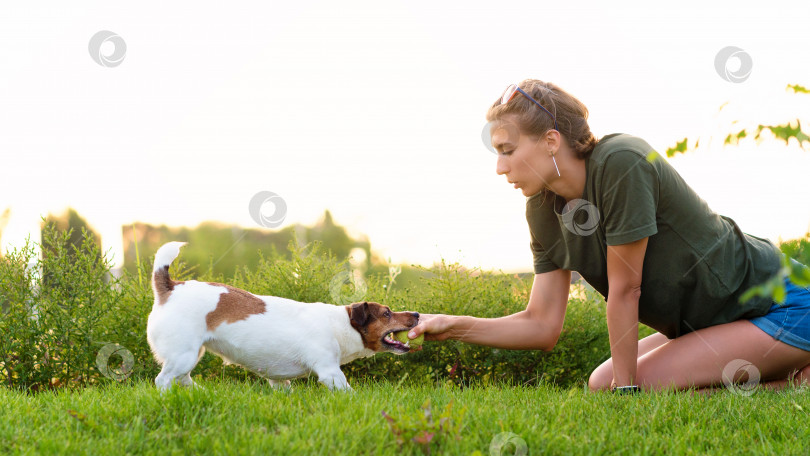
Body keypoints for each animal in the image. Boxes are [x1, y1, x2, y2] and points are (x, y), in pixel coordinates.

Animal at [146, 242, 420, 392]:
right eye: (386, 313)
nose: (417, 314)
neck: (340, 325)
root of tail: (170, 287)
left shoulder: (279, 380)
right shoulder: (330, 372)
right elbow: (348, 392)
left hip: (190, 355)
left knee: (183, 380)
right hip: (183, 354)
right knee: (163, 380)